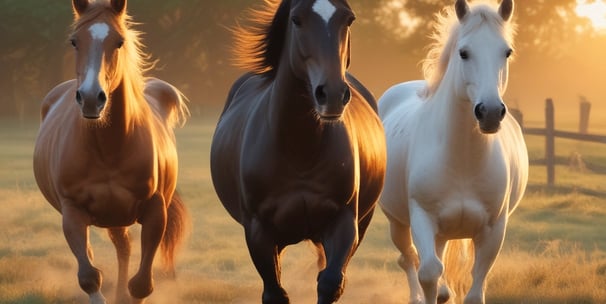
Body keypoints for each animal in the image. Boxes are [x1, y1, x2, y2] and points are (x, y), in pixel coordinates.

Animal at [33, 1, 190, 302]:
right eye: (74, 41)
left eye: (119, 42)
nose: (91, 98)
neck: (109, 147)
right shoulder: (72, 213)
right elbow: (89, 277)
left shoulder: (155, 212)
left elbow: (141, 284)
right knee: (116, 249)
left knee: (124, 248)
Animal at [211, 1, 388, 302]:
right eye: (297, 19)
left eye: (348, 19)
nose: (332, 95)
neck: (300, 150)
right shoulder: (258, 232)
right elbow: (275, 293)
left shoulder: (343, 222)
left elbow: (329, 282)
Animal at [382, 0, 528, 304]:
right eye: (464, 52)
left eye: (506, 52)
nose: (490, 113)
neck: (463, 160)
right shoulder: (422, 217)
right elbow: (428, 272)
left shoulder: (493, 230)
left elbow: (474, 289)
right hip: (397, 222)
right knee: (408, 259)